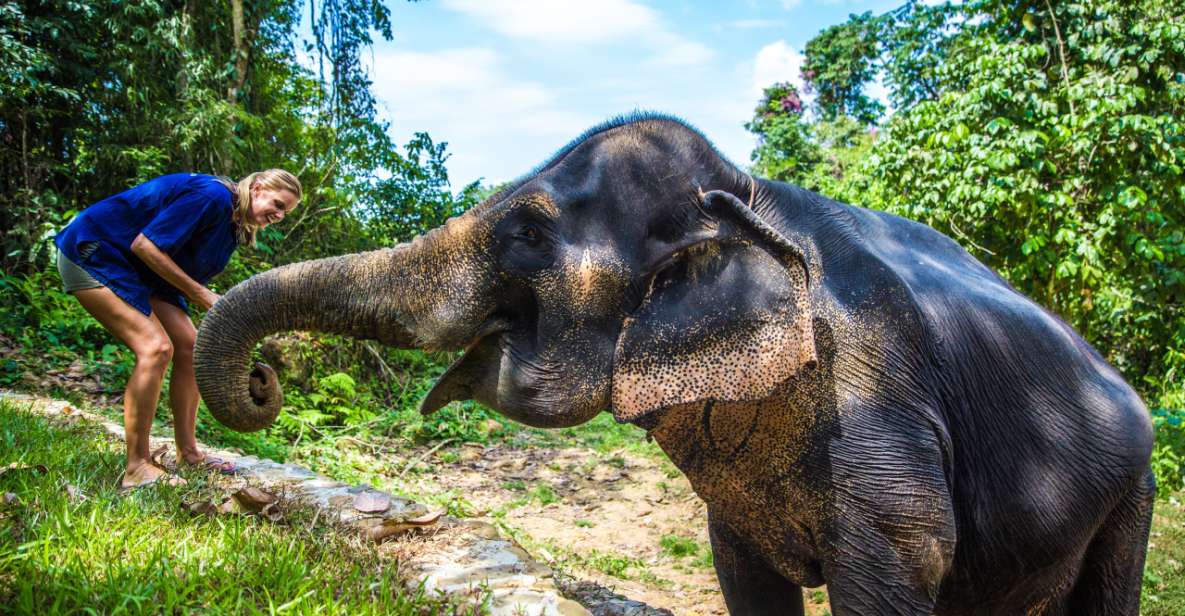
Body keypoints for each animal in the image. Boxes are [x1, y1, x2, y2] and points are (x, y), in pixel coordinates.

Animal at [194, 114, 1154, 615]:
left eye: (527, 233)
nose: (264, 380)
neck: (752, 193)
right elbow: (743, 572)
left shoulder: (877, 399)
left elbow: (903, 557)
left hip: (1132, 494)